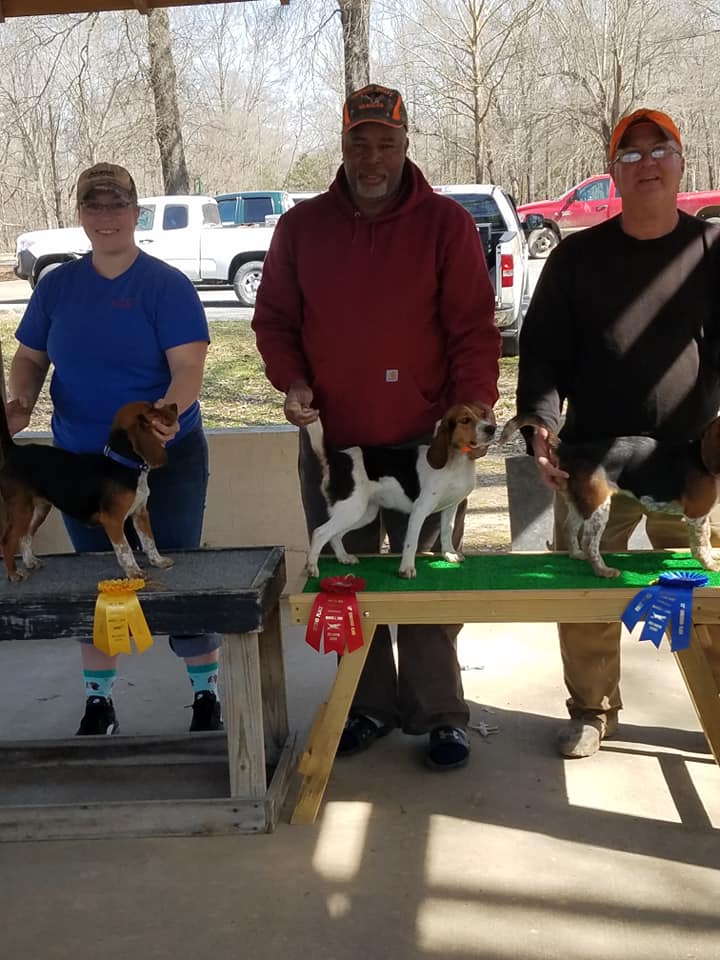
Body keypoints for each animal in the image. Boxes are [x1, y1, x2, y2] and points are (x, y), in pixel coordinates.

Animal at [0, 399, 178, 582]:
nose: (174, 405)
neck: (123, 464)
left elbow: (149, 541)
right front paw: (134, 572)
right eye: (151, 410)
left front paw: (158, 561)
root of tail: (14, 450)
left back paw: (30, 561)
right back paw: (13, 573)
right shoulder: (113, 520)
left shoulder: (140, 513)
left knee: (25, 535)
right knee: (7, 540)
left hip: (39, 509)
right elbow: (125, 549)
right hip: (21, 509)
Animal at [305, 403, 496, 579]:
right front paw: (407, 569)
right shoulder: (420, 511)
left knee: (334, 535)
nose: (492, 428)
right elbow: (411, 543)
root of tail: (337, 458)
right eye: (465, 420)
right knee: (320, 532)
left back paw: (344, 557)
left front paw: (449, 554)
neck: (456, 463)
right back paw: (312, 567)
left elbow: (447, 532)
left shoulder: (450, 507)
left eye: (483, 414)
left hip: (364, 513)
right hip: (351, 509)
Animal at [500, 414, 720, 578]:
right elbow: (701, 544)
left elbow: (706, 540)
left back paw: (576, 555)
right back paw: (603, 571)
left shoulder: (701, 517)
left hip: (579, 502)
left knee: (569, 529)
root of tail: (569, 449)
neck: (700, 457)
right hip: (599, 507)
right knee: (589, 543)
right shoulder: (697, 515)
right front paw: (710, 565)